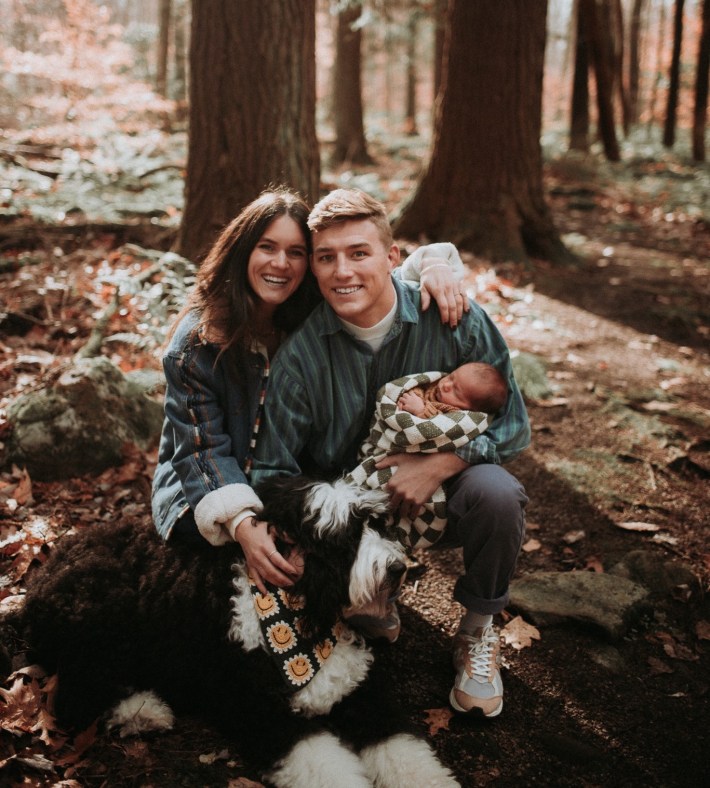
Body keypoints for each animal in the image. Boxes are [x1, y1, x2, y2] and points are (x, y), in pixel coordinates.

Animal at [22, 478, 458, 784]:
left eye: (376, 524)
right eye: (344, 540)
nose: (398, 568)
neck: (302, 621)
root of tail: (42, 576)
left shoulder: (359, 691)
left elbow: (401, 748)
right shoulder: (258, 707)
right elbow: (321, 761)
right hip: (101, 624)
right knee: (73, 696)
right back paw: (141, 711)